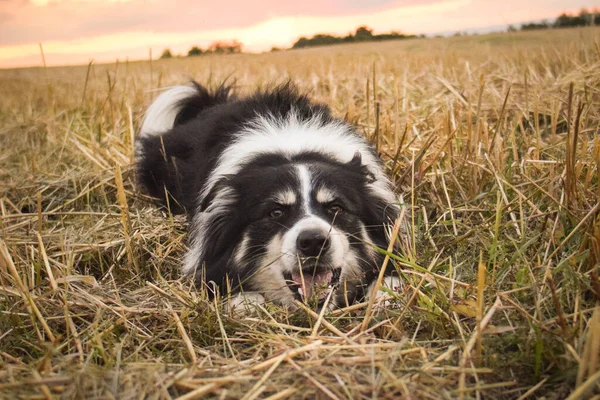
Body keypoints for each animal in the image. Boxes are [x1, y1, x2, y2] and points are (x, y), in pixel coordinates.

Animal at [136, 81, 404, 310]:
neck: (291, 147)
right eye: (275, 212)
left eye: (336, 208)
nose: (313, 243)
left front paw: (386, 291)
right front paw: (245, 303)